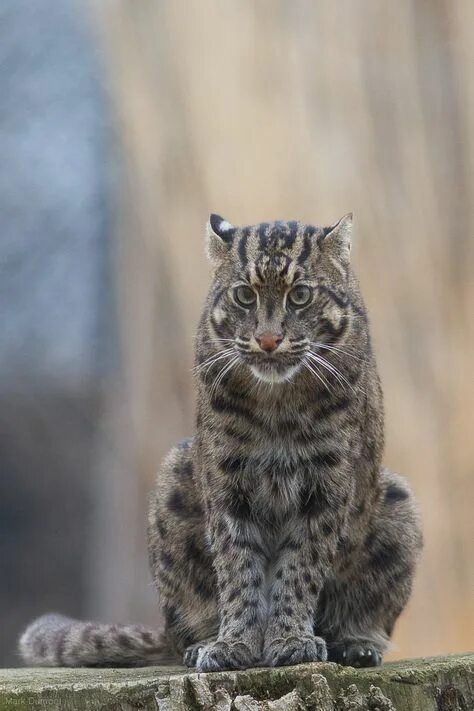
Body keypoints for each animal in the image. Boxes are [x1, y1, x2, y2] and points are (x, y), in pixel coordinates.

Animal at [19, 214, 422, 672]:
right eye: (244, 295)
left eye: (300, 296)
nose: (268, 340)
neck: (278, 402)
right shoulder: (227, 482)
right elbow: (238, 568)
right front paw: (235, 644)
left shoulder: (327, 485)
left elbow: (300, 567)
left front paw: (290, 640)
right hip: (174, 475)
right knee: (185, 626)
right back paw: (202, 643)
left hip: (398, 503)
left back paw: (354, 644)